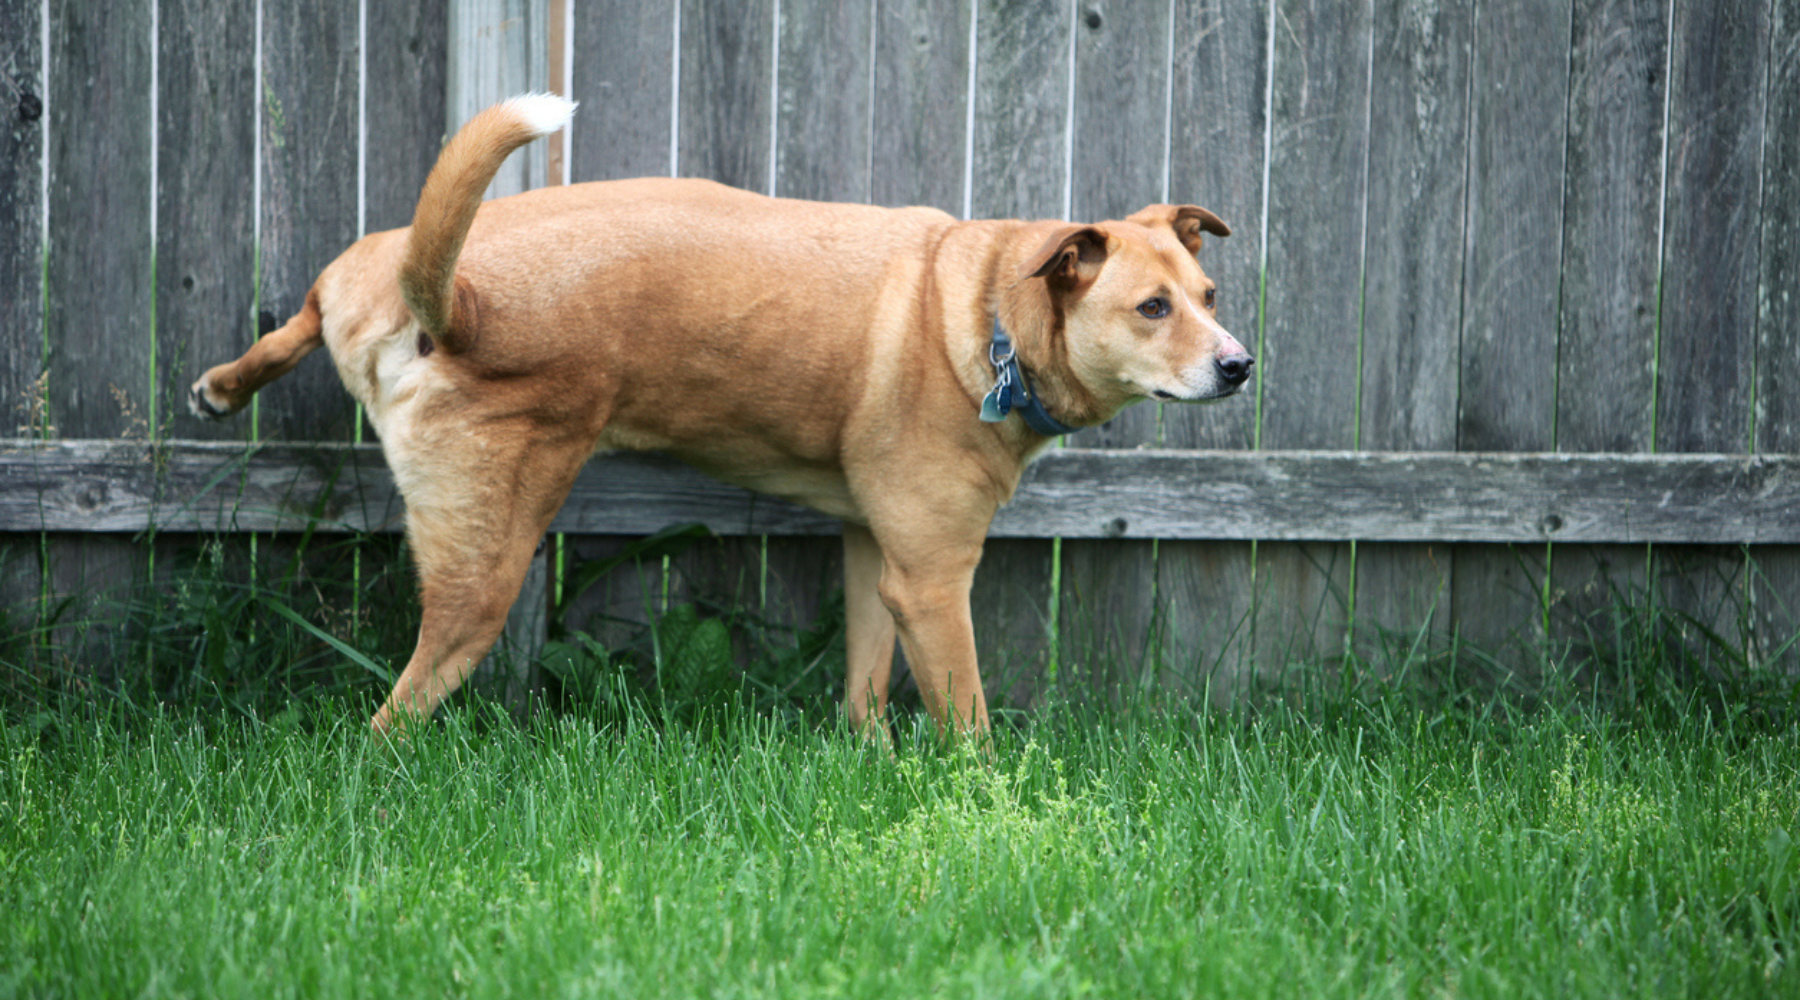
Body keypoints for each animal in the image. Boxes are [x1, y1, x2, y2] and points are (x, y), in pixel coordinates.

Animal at [186, 95, 1252, 733]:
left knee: (304, 311)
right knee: (393, 716)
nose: (1241, 365)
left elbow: (865, 685)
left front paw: (868, 763)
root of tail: (453, 301)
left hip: (361, 269)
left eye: (1207, 294)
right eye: (1153, 309)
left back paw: (229, 383)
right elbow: (970, 721)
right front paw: (985, 811)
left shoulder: (879, 556)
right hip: (484, 565)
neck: (988, 306)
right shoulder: (934, 579)